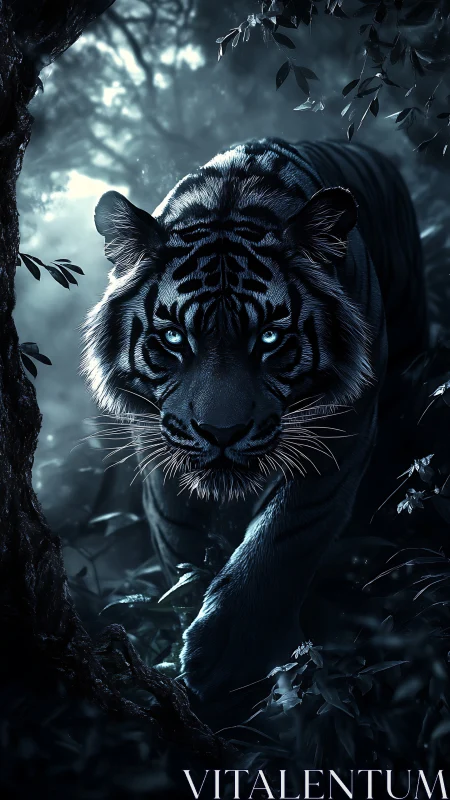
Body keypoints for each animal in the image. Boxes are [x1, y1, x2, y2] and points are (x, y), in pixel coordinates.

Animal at [82, 137, 428, 720]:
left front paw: (232, 657)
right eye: (173, 339)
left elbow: (287, 534)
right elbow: (179, 535)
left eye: (268, 338)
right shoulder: (156, 441)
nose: (220, 432)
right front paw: (191, 598)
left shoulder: (341, 428)